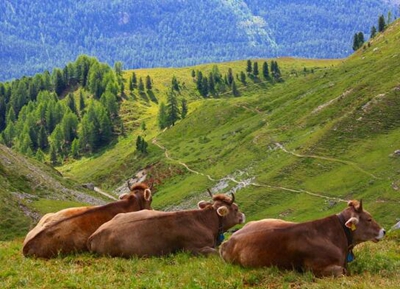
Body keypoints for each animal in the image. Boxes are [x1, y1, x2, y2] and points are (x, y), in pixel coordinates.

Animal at [87, 192, 245, 255]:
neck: (204, 222)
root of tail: (93, 235)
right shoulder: (192, 248)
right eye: (236, 208)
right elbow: (215, 252)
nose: (243, 216)